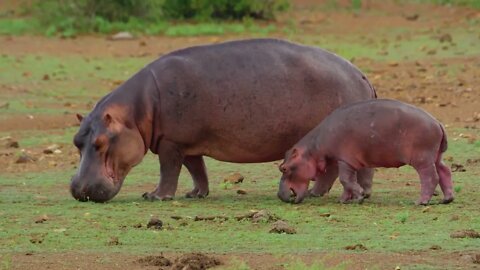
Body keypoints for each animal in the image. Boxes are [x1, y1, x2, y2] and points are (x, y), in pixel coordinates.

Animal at [69, 38, 376, 202]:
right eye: (76, 141)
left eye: (100, 142)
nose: (78, 189)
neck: (136, 111)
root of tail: (361, 74)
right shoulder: (187, 144)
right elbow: (197, 169)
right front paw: (196, 194)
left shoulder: (171, 142)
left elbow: (168, 170)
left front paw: (155, 196)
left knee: (332, 169)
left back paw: (314, 192)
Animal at [278, 99, 454, 205]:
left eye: (283, 168)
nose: (280, 195)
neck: (314, 148)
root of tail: (438, 123)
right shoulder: (349, 162)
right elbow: (348, 181)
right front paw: (344, 200)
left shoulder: (344, 160)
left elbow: (345, 180)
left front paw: (359, 197)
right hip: (436, 155)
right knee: (445, 171)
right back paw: (447, 199)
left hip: (422, 158)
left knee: (430, 177)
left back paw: (420, 202)